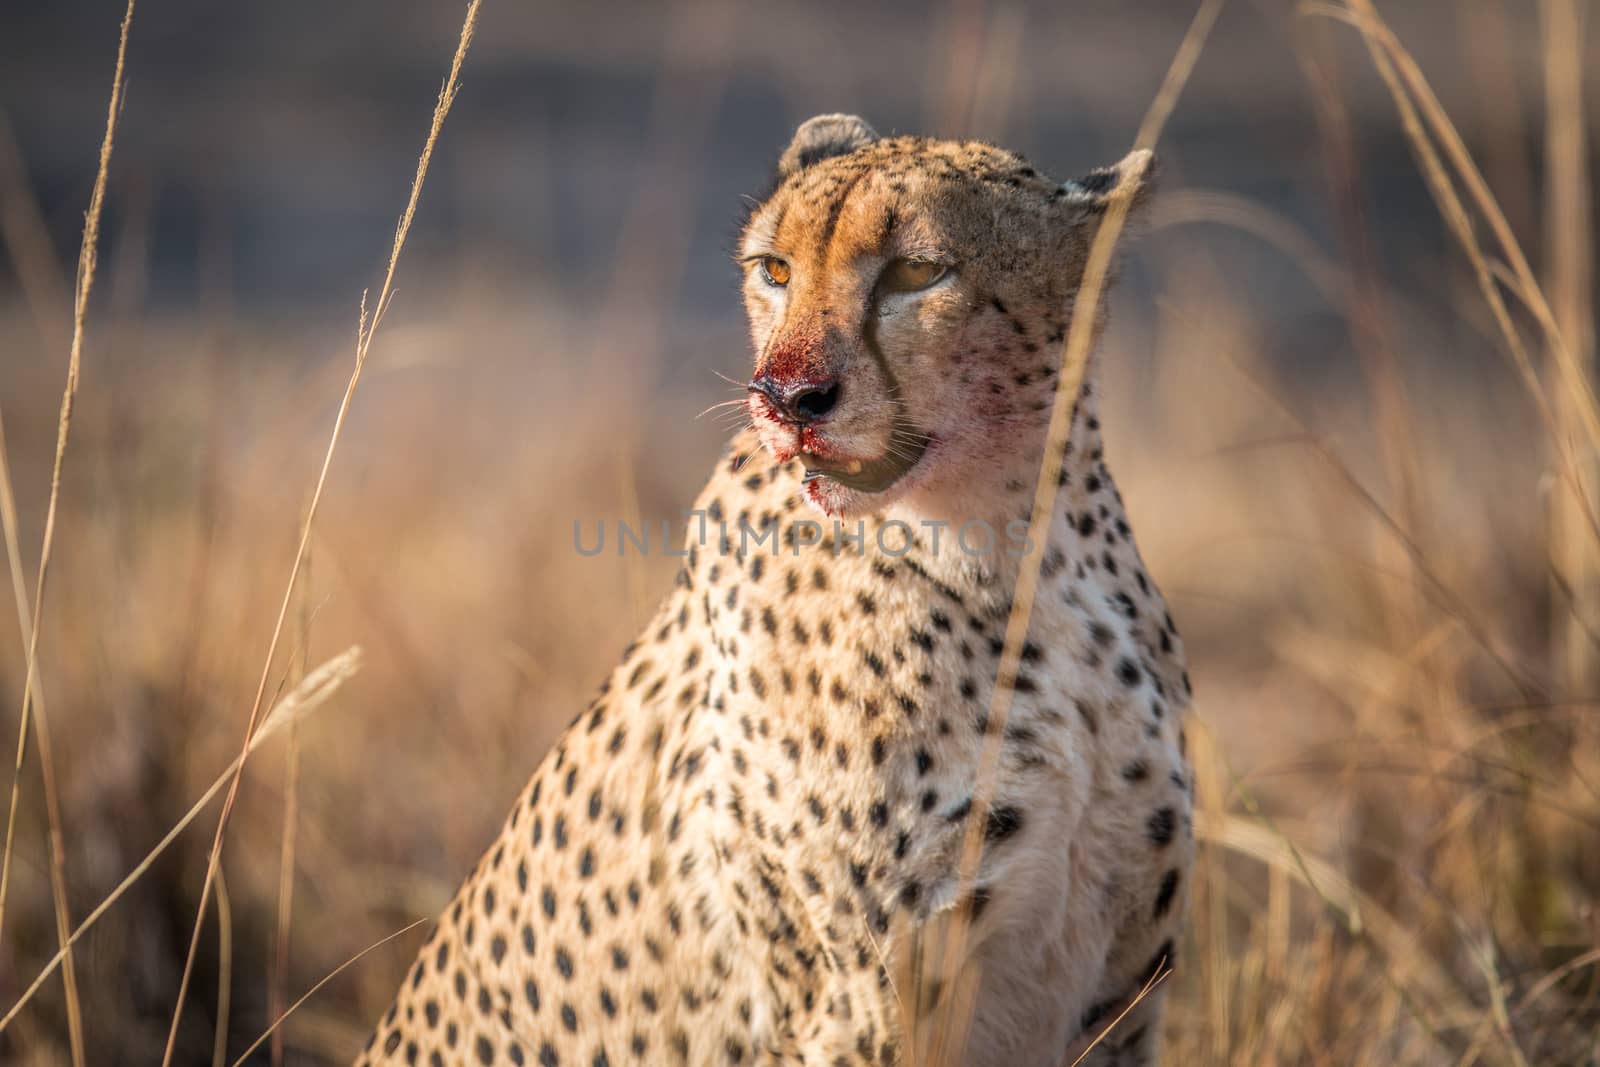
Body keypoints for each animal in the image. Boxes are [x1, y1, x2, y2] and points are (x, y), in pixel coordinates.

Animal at [363, 116, 1190, 1067]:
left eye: (917, 272)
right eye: (776, 269)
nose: (786, 398)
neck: (1024, 556)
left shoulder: (1120, 992)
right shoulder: (866, 1003)